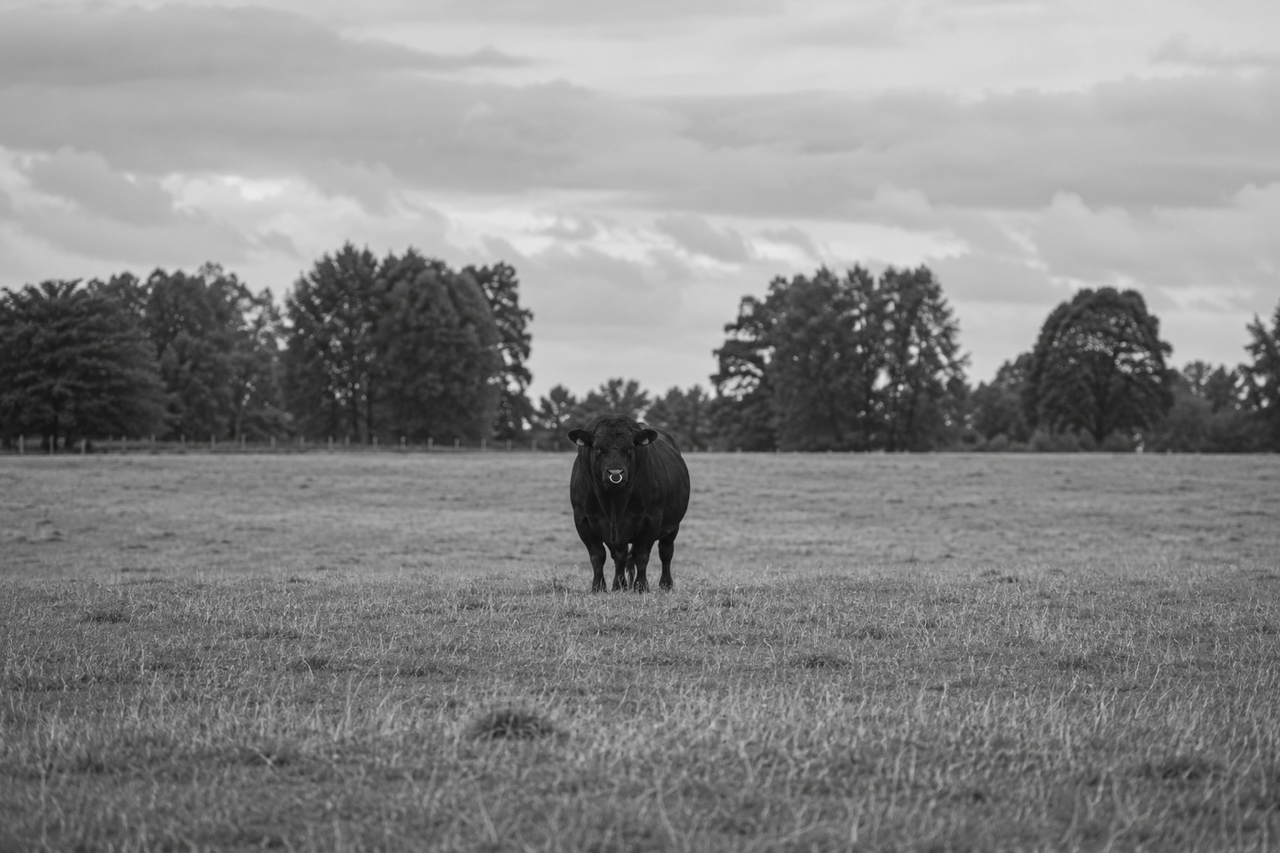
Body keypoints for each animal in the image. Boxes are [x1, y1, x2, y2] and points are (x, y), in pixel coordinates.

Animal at [567, 414, 690, 592]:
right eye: (597, 448)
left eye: (631, 448)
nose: (615, 473)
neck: (613, 502)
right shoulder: (583, 520)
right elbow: (598, 555)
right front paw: (600, 587)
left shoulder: (651, 520)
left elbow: (641, 555)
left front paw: (641, 586)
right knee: (622, 556)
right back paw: (622, 585)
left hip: (672, 526)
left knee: (665, 552)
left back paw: (665, 584)